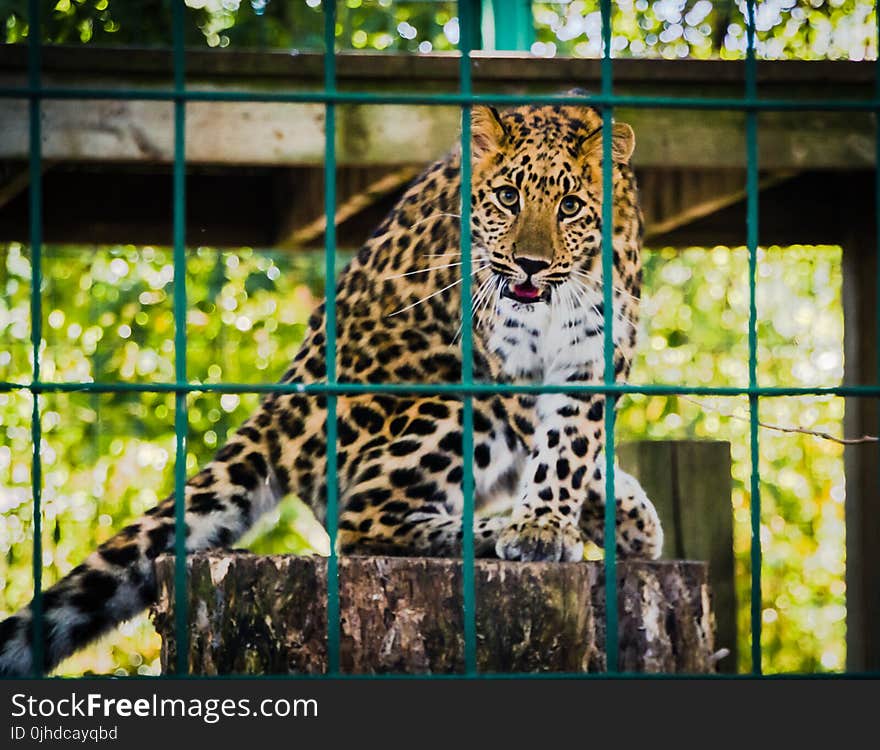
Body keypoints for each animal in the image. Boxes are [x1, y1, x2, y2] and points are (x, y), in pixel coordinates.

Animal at [0, 97, 660, 680]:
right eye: (508, 197)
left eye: (570, 206)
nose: (528, 265)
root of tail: (277, 408)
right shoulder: (505, 367)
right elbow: (557, 446)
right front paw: (546, 528)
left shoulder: (595, 353)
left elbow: (575, 442)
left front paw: (597, 520)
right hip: (445, 398)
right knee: (361, 516)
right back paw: (490, 533)